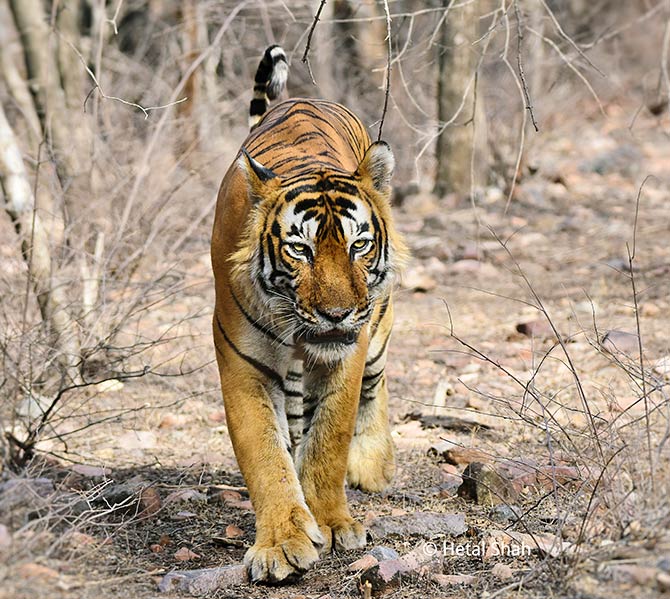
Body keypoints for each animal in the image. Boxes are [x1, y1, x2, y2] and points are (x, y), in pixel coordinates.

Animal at [213, 44, 406, 584]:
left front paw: (332, 522)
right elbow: (264, 453)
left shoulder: (349, 353)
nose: (337, 314)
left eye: (359, 245)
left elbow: (329, 440)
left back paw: (373, 465)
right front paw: (283, 541)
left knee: (376, 383)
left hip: (377, 329)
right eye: (300, 249)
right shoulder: (243, 362)